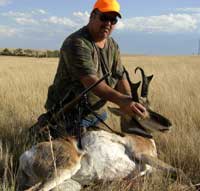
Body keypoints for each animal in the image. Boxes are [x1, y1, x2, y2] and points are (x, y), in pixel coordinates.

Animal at [16, 67, 183, 191]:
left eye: (150, 105)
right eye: (140, 110)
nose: (168, 124)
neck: (139, 136)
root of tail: (26, 154)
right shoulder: (141, 154)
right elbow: (177, 170)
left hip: (70, 184)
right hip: (63, 170)